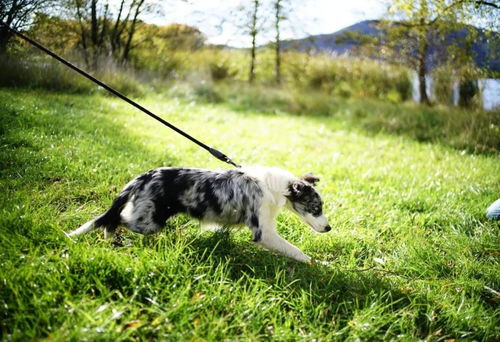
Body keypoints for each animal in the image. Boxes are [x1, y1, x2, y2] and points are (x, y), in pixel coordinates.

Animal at [67, 167, 332, 264]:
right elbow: (295, 251)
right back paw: (110, 235)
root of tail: (146, 175)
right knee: (115, 218)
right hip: (149, 220)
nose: (329, 228)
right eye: (316, 208)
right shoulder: (264, 232)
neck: (275, 187)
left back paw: (108, 238)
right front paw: (319, 263)